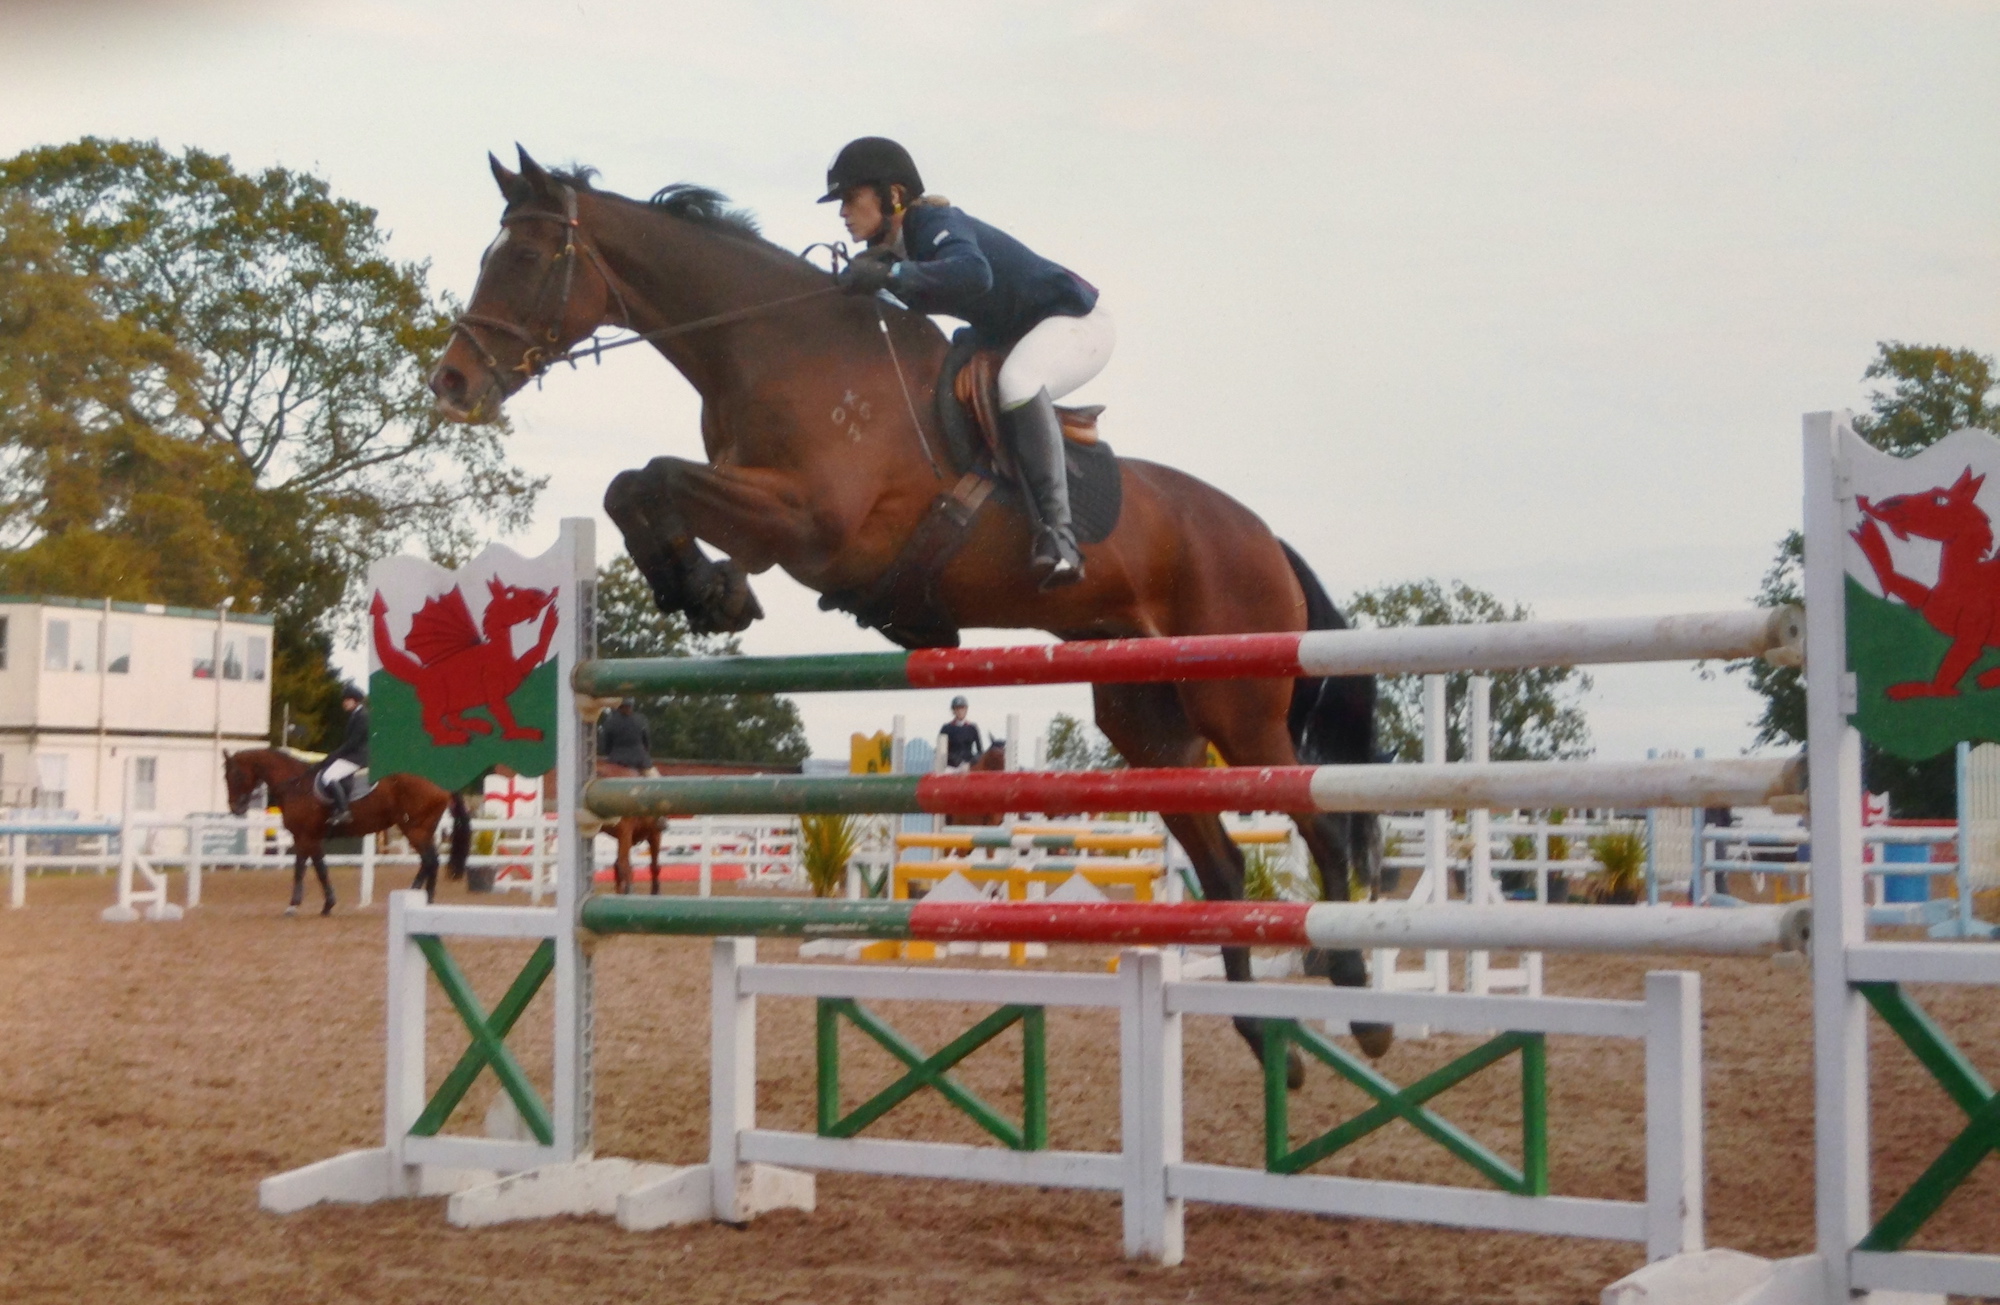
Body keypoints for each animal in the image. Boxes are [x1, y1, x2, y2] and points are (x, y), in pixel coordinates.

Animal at [221, 748, 470, 912]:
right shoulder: (313, 838)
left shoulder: (303, 836)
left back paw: (416, 895)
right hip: (422, 829)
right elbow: (320, 868)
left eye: (236, 775)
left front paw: (293, 905)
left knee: (429, 860)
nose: (235, 808)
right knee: (432, 862)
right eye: (225, 777)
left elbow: (300, 869)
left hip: (415, 829)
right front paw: (328, 904)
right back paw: (425, 900)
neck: (295, 785)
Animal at [424, 148, 1392, 1072]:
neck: (774, 345)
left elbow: (654, 475)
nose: (452, 381)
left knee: (1322, 827)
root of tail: (1264, 536)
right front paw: (703, 588)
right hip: (1149, 722)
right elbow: (635, 486)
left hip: (1238, 701)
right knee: (1224, 859)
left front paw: (703, 588)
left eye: (523, 257)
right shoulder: (769, 516)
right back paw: (1266, 1039)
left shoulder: (811, 522)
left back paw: (1359, 1002)